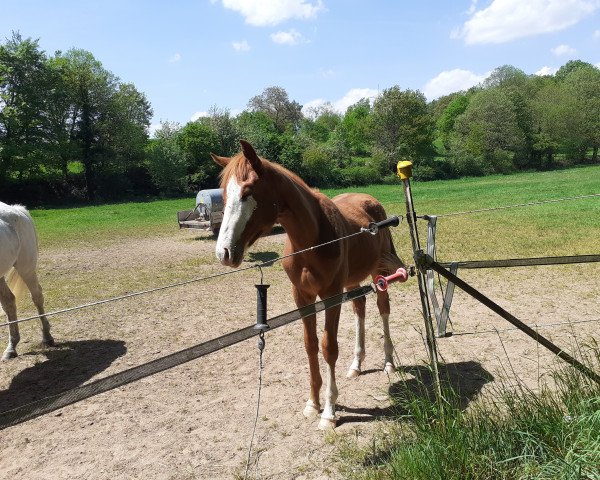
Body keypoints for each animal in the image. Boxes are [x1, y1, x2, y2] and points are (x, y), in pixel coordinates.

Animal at [0, 202, 53, 360]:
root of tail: (17, 209)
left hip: (26, 269)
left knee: (37, 297)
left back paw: (47, 337)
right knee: (9, 302)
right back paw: (11, 347)